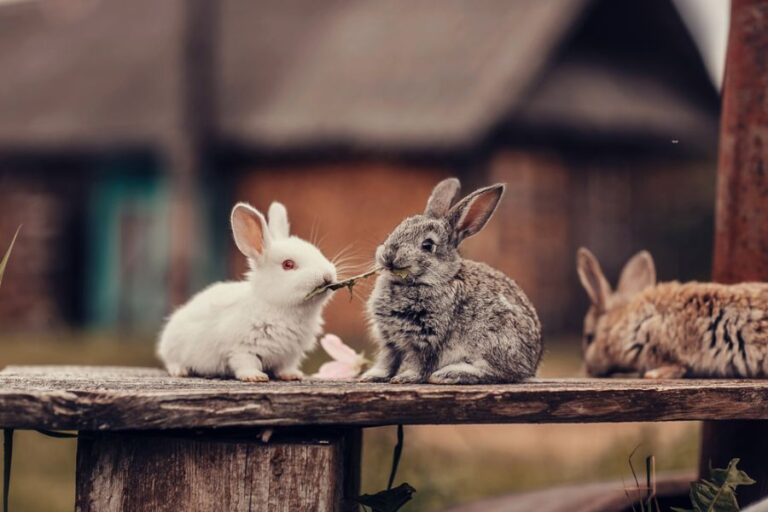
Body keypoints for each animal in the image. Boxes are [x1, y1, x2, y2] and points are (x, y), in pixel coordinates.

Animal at [156, 201, 337, 382]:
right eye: (288, 264)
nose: (327, 276)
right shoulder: (242, 348)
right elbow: (246, 363)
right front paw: (255, 377)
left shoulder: (290, 354)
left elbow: (285, 367)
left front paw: (292, 375)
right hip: (174, 347)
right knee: (172, 362)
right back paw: (180, 371)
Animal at [360, 178, 543, 384]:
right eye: (395, 230)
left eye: (427, 245)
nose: (389, 255)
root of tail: (530, 366)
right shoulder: (389, 340)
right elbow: (388, 360)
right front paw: (373, 376)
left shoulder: (427, 339)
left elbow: (419, 362)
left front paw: (406, 377)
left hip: (493, 340)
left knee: (498, 373)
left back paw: (448, 374)